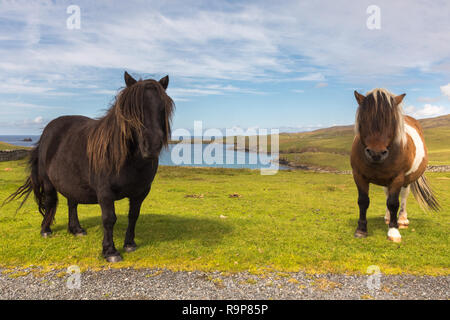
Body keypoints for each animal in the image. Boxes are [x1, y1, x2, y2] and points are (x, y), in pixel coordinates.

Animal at [5, 71, 174, 262]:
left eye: (162, 108)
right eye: (132, 110)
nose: (152, 145)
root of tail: (46, 132)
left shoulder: (140, 192)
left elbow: (133, 216)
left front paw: (130, 244)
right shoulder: (105, 192)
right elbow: (109, 219)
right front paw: (110, 251)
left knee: (72, 203)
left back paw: (76, 229)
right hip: (48, 182)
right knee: (49, 202)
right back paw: (46, 230)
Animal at [350, 87, 438, 242]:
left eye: (392, 121)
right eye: (363, 120)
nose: (376, 153)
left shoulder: (398, 178)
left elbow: (393, 203)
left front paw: (393, 231)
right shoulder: (359, 176)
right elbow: (363, 201)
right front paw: (361, 230)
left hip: (406, 181)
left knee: (403, 197)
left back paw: (402, 219)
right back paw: (387, 217)